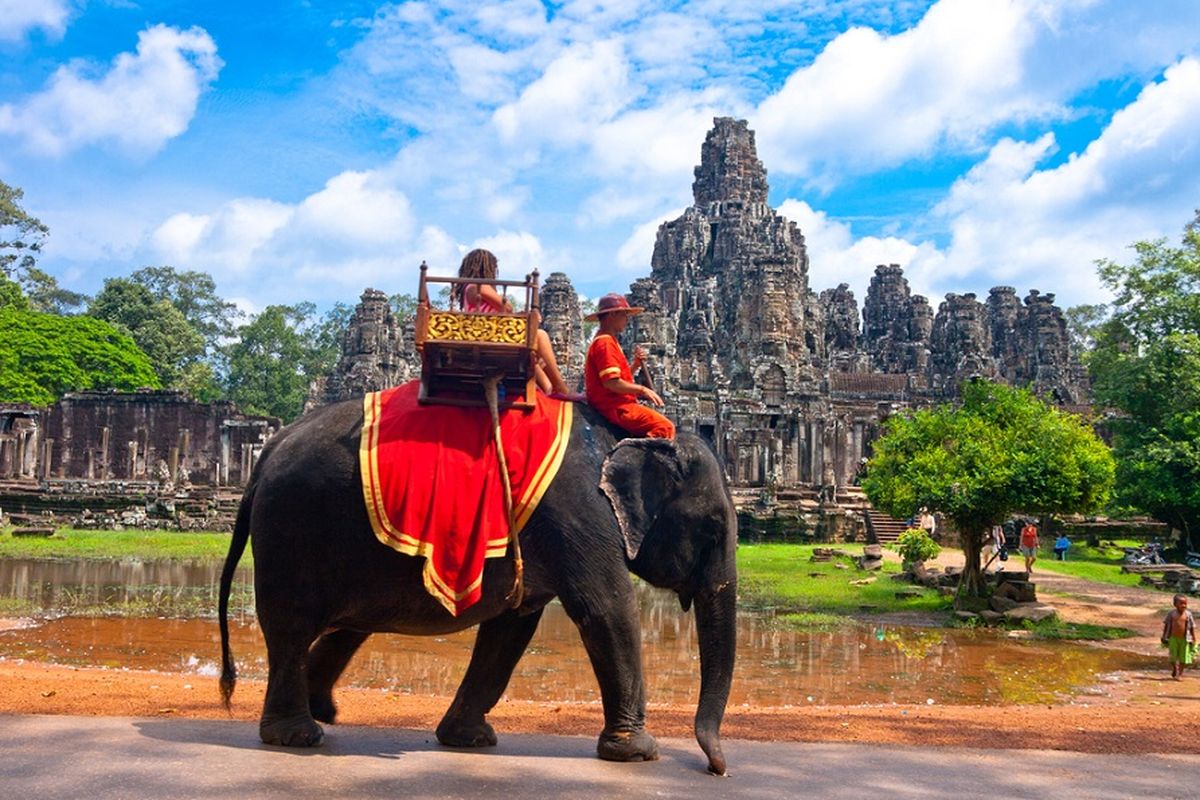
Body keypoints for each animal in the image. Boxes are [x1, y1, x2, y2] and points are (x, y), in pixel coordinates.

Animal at [219, 398, 734, 777]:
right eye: (711, 529)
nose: (717, 769)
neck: (627, 435)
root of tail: (270, 450)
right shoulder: (581, 511)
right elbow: (607, 607)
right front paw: (640, 752)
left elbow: (512, 627)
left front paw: (469, 740)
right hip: (291, 531)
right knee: (290, 629)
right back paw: (298, 735)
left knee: (346, 628)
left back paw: (322, 710)